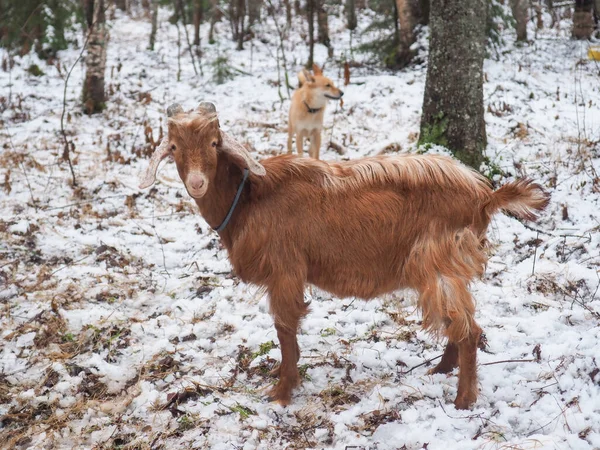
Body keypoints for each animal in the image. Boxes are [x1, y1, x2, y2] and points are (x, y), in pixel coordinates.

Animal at [139, 103, 548, 412]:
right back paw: (440, 371)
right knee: (458, 321)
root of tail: (485, 196)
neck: (250, 198)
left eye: (213, 143)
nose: (196, 183)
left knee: (468, 329)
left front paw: (282, 393)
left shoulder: (285, 271)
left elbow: (284, 329)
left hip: (437, 260)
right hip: (444, 267)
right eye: (173, 147)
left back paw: (463, 400)